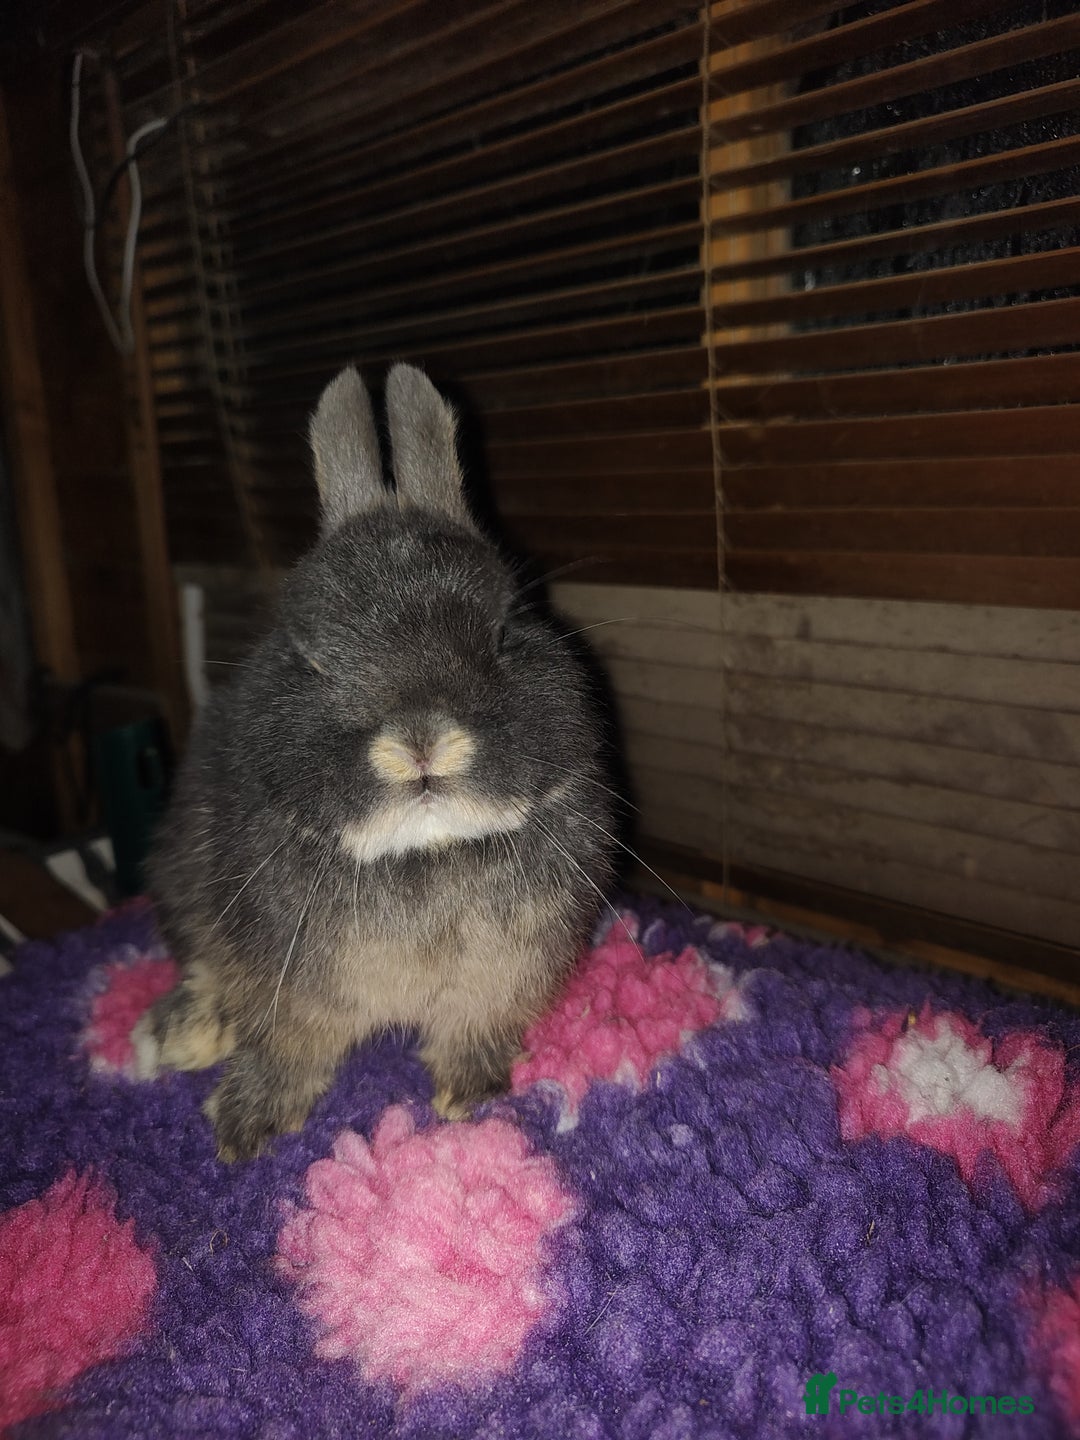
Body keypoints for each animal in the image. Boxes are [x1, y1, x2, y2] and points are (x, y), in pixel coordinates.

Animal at [135, 363, 618, 1160]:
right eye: (310, 658)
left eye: (504, 632)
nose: (420, 741)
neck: (421, 851)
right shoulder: (283, 989)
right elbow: (285, 1048)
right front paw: (247, 1128)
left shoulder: (500, 982)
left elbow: (471, 1032)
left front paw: (466, 1096)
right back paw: (180, 1034)